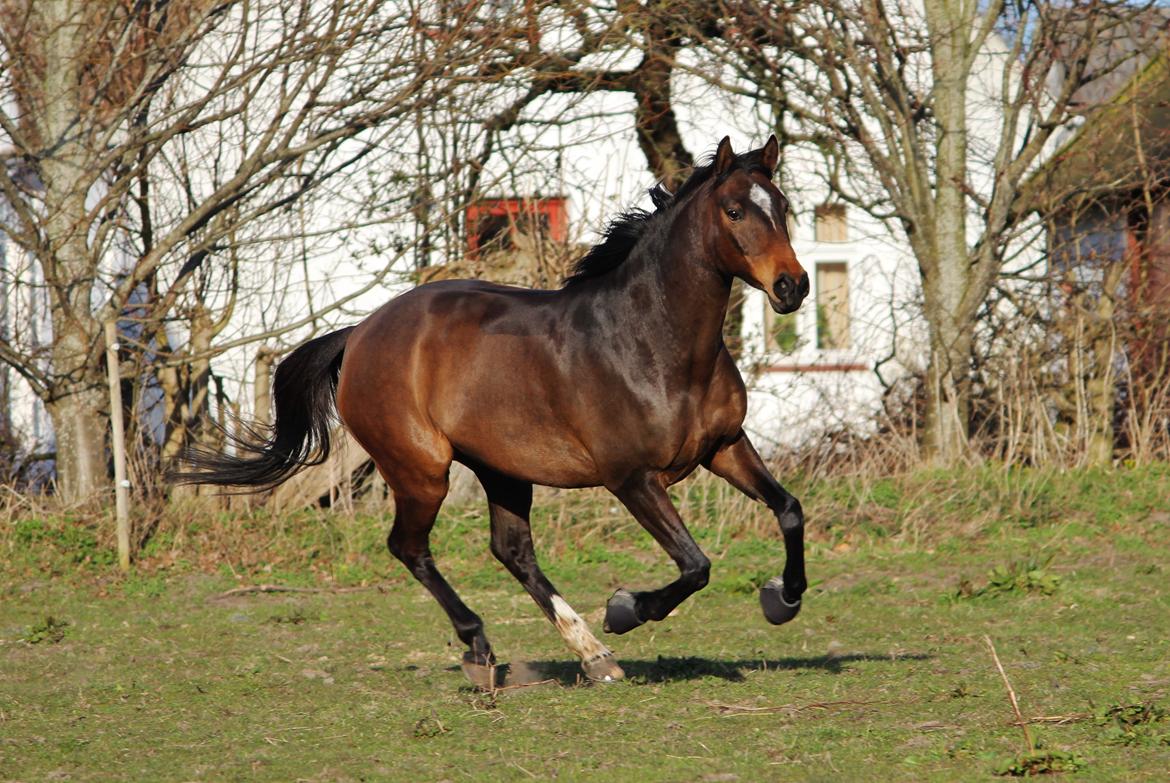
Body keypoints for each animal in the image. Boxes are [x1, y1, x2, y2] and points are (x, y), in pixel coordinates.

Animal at [177, 137, 809, 688]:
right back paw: (481, 648)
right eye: (734, 210)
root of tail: (360, 333)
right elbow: (695, 564)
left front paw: (781, 598)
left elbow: (789, 510)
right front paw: (625, 608)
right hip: (421, 471)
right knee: (410, 548)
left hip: (502, 469)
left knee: (512, 551)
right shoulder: (630, 477)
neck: (653, 342)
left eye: (781, 207)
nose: (792, 287)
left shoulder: (725, 447)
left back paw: (594, 658)